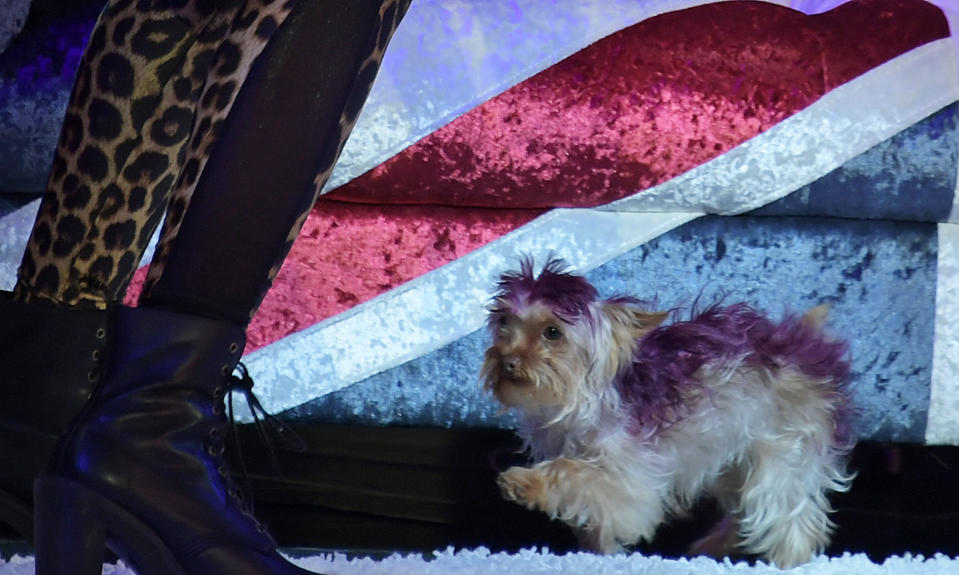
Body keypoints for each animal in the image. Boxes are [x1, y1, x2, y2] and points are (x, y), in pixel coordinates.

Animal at [480, 258, 856, 568]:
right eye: (504, 324)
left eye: (552, 332)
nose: (507, 361)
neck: (576, 401)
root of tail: (804, 347)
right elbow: (593, 520)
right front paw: (598, 554)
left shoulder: (628, 477)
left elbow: (572, 474)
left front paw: (524, 482)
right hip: (733, 459)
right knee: (743, 509)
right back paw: (711, 548)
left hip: (786, 451)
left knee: (787, 512)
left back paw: (788, 562)